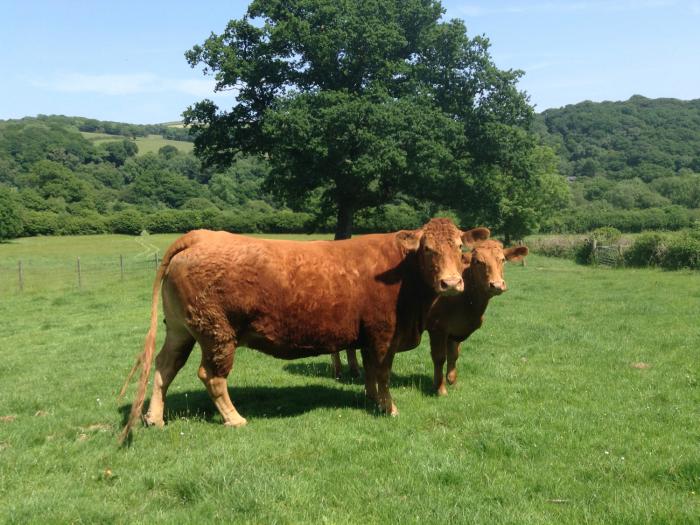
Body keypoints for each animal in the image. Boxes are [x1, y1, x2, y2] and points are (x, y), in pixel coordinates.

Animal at [120, 219, 490, 440]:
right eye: (428, 249)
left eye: (460, 247)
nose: (451, 283)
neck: (403, 275)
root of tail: (200, 236)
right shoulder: (384, 333)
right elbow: (382, 373)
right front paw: (389, 408)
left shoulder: (368, 337)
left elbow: (370, 371)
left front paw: (371, 399)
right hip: (217, 334)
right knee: (211, 376)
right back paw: (234, 418)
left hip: (181, 329)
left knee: (165, 367)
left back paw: (154, 418)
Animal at [332, 238, 524, 392]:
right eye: (477, 261)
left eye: (503, 260)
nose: (497, 285)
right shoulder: (438, 328)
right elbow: (439, 357)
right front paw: (439, 388)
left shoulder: (455, 329)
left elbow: (454, 355)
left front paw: (452, 381)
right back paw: (339, 371)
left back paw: (354, 370)